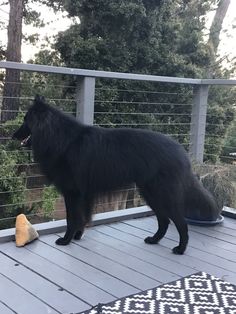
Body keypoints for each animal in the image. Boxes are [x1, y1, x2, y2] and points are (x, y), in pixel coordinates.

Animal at [12, 95, 219, 253]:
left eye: (25, 121)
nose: (12, 136)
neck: (61, 139)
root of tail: (181, 151)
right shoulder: (86, 194)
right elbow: (84, 217)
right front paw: (78, 236)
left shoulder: (72, 193)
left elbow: (72, 219)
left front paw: (66, 239)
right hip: (150, 194)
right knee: (164, 220)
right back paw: (154, 240)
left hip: (163, 195)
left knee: (180, 223)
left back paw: (180, 249)